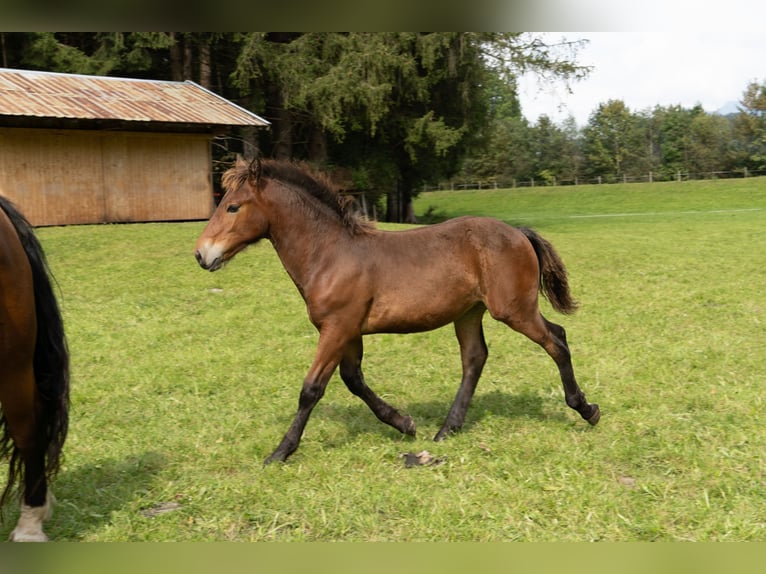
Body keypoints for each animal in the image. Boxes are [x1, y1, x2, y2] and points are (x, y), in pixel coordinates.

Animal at [196, 159, 600, 468]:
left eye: (233, 206)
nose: (202, 254)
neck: (329, 254)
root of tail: (517, 233)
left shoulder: (336, 328)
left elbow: (311, 389)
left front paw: (279, 452)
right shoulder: (349, 332)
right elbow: (354, 380)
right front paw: (405, 423)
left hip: (514, 310)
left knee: (557, 340)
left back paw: (585, 409)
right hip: (470, 312)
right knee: (475, 358)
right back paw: (447, 429)